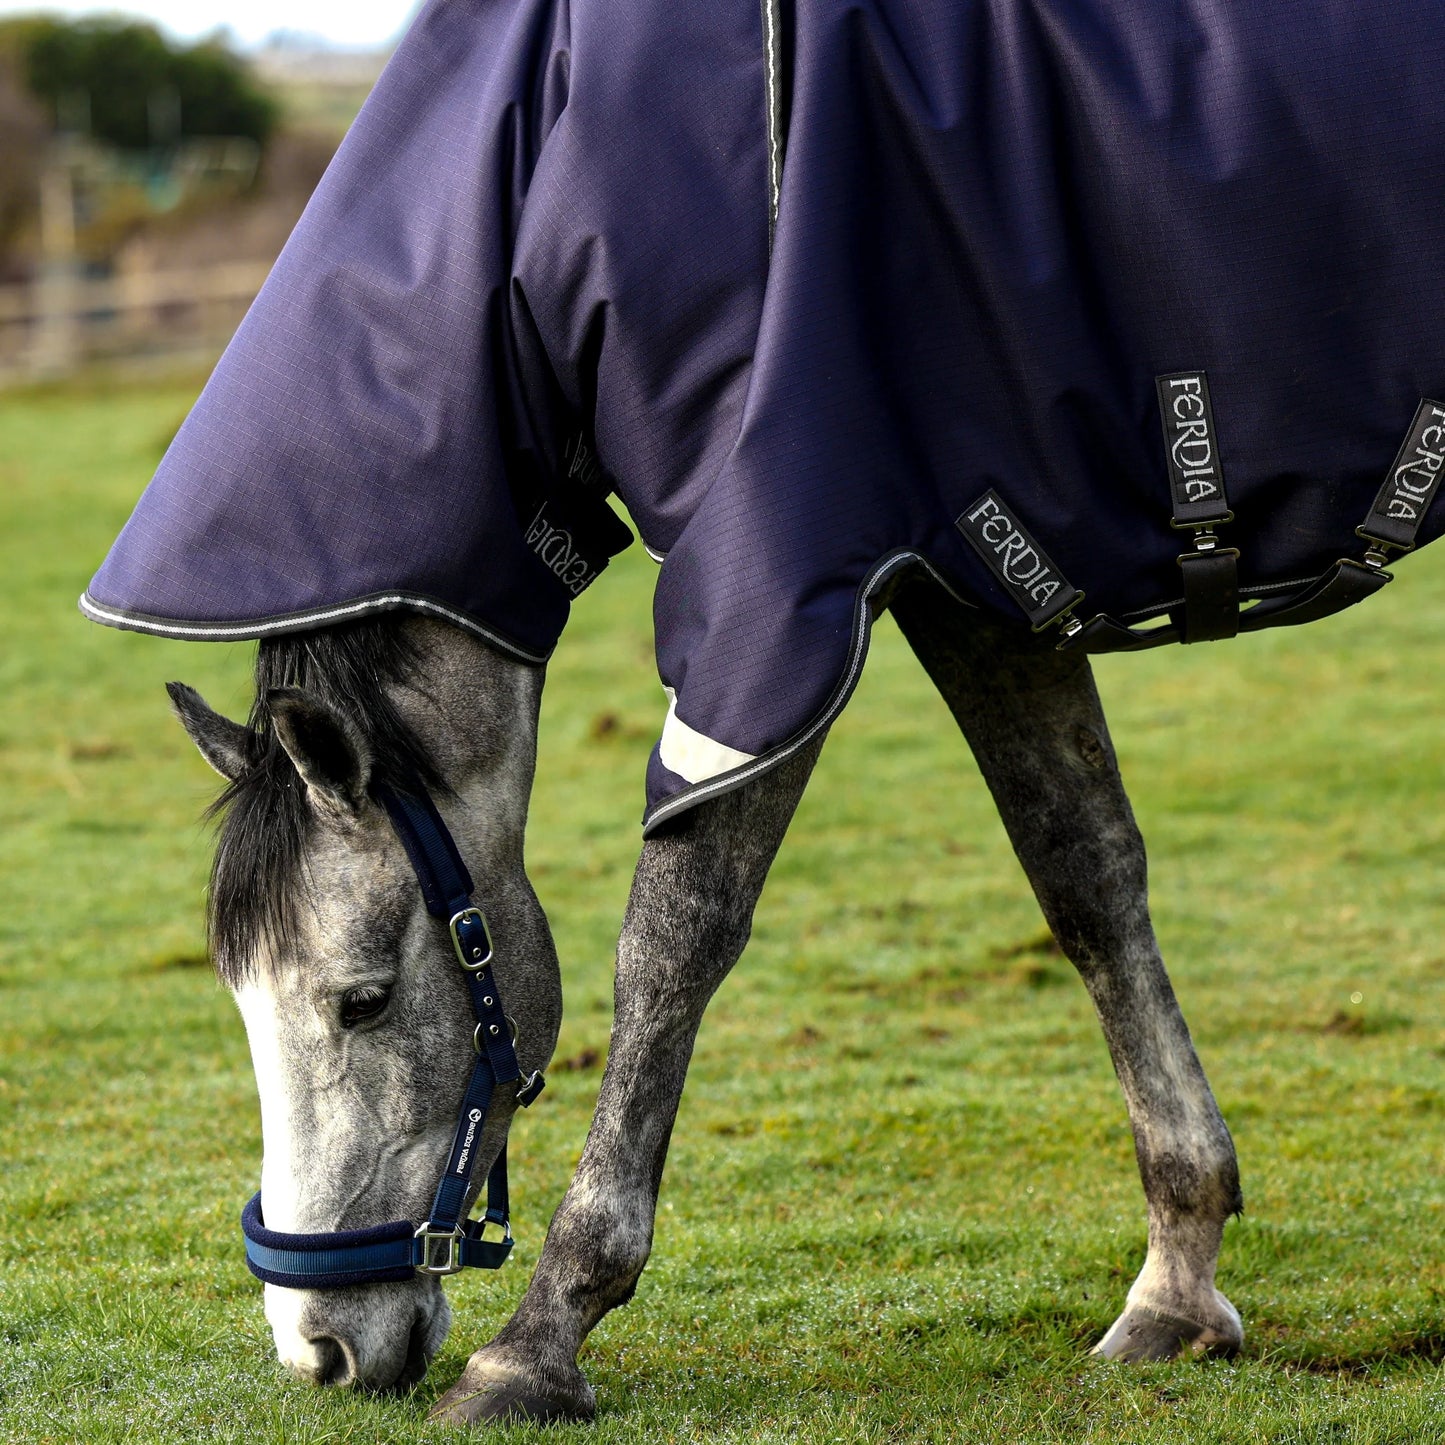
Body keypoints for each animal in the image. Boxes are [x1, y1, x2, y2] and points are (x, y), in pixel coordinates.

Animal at [168, 585, 1243, 1425]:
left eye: (363, 1002)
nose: (315, 1348)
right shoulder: (975, 596)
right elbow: (1084, 872)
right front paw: (1177, 1282)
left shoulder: (782, 639)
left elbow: (675, 936)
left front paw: (535, 1348)